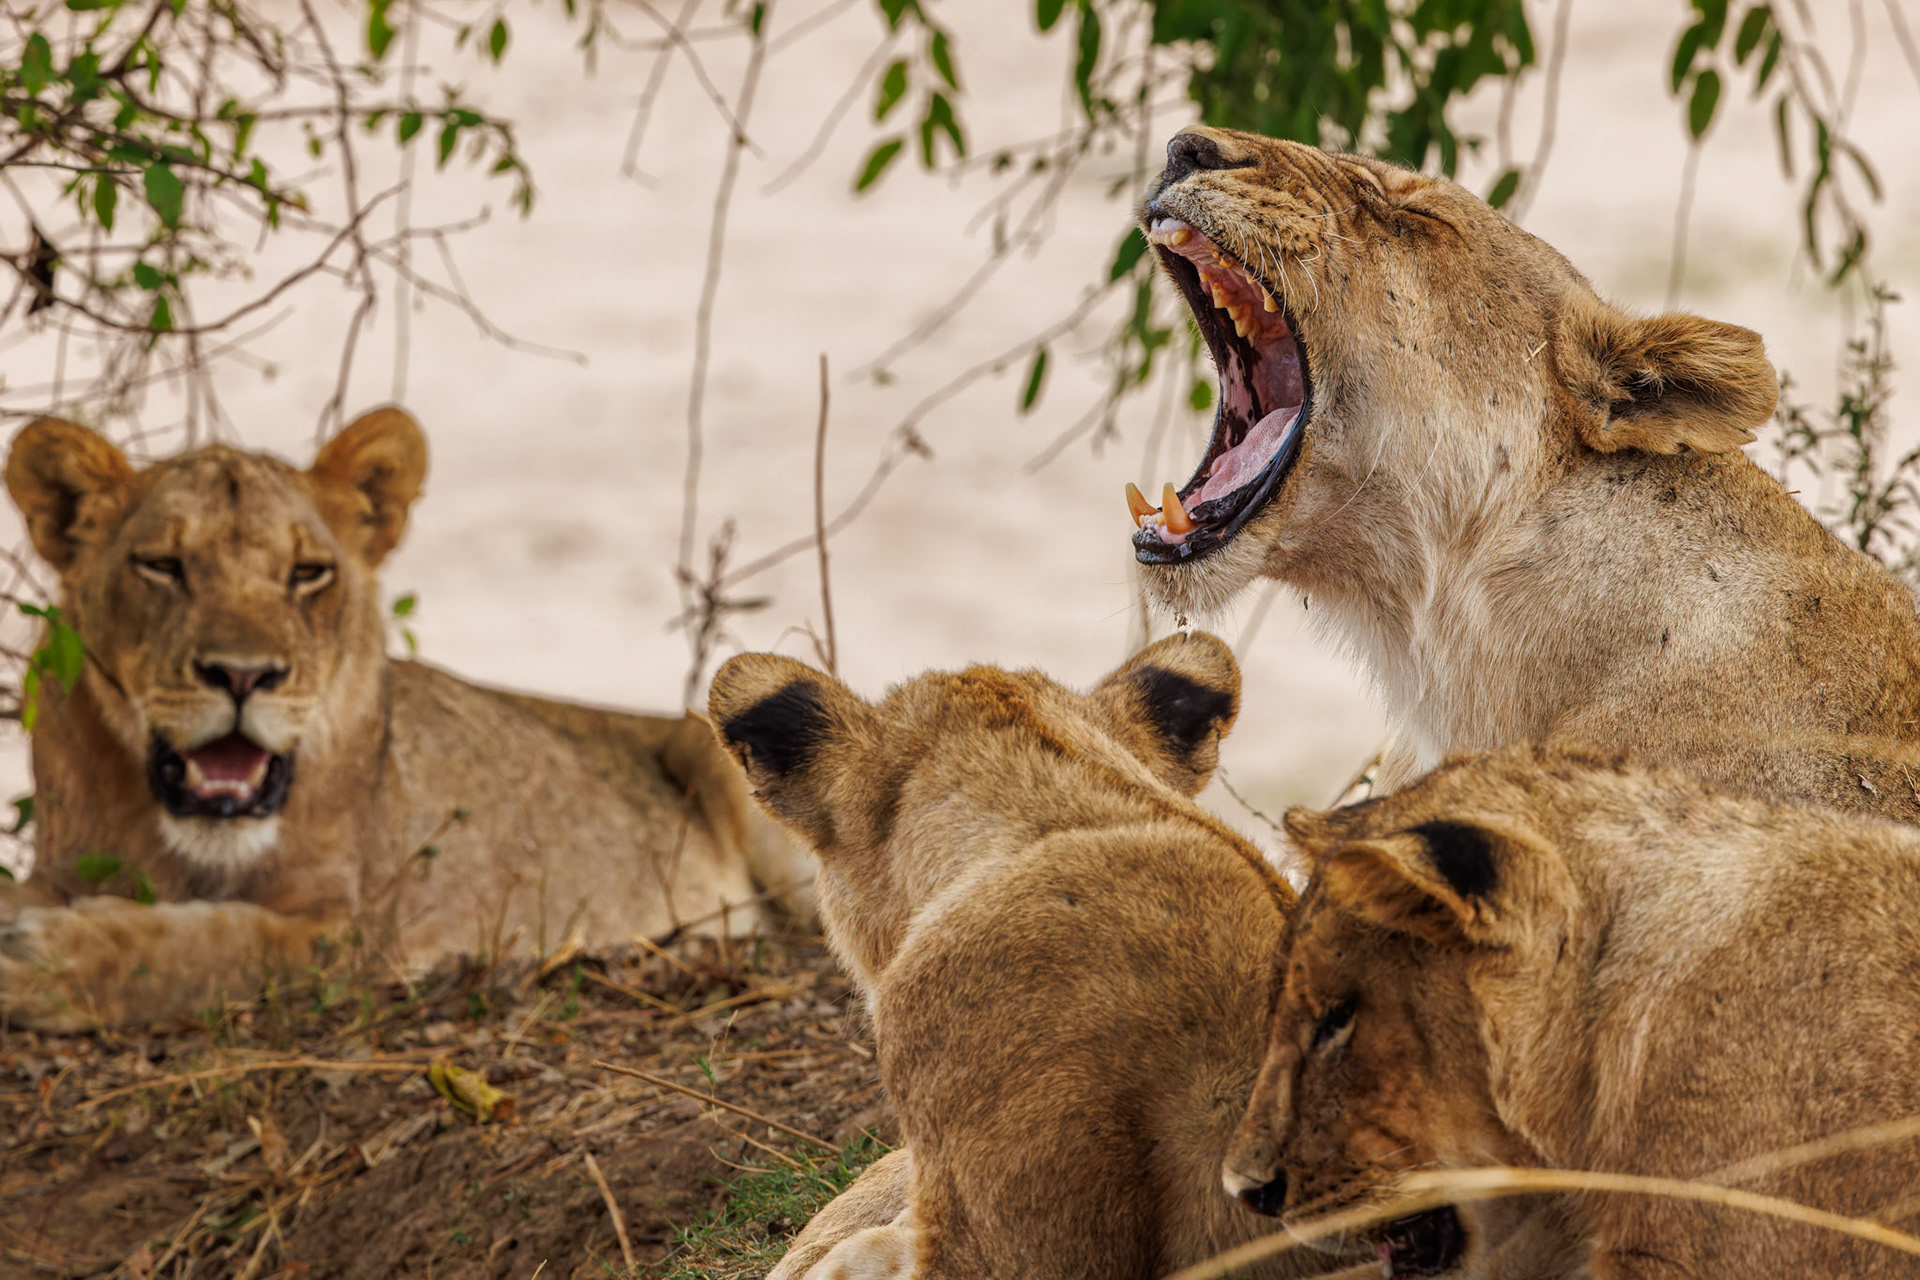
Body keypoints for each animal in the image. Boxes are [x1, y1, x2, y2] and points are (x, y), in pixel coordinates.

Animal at [0, 409, 811, 1030]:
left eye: (307, 573)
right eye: (162, 566)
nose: (243, 676)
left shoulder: (359, 934)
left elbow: (222, 951)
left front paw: (48, 960)